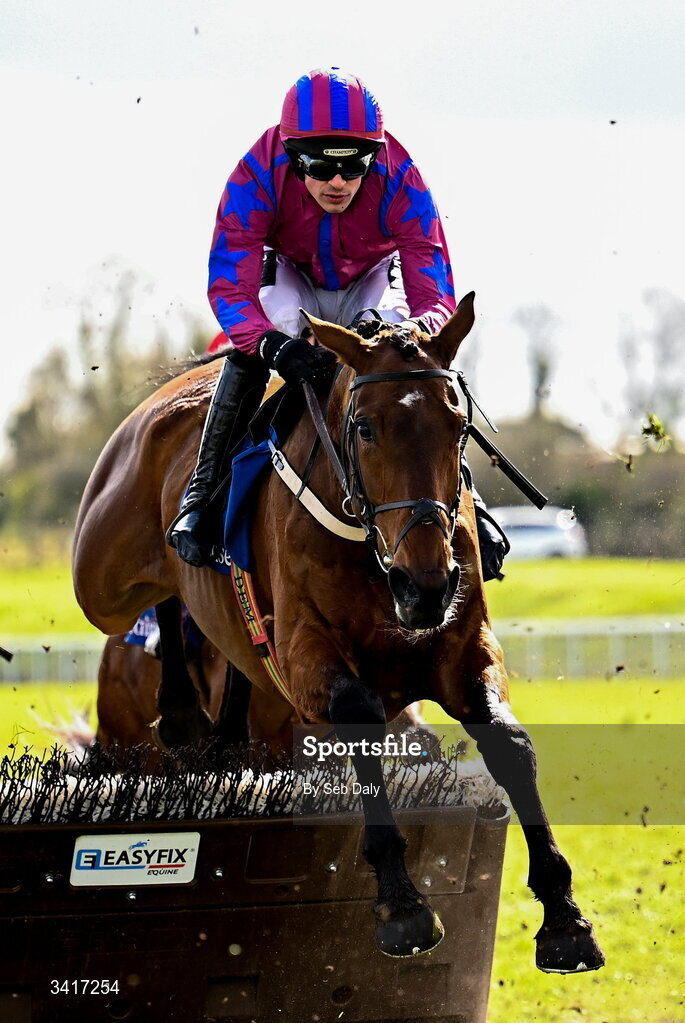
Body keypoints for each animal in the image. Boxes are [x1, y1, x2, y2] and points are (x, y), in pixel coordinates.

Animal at [72, 292, 604, 971]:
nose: (426, 586)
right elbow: (359, 713)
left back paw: (214, 730)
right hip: (101, 584)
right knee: (161, 594)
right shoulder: (305, 660)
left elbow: (510, 745)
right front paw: (402, 903)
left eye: (458, 427)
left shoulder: (465, 648)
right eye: (366, 428)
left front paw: (564, 917)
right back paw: (182, 702)